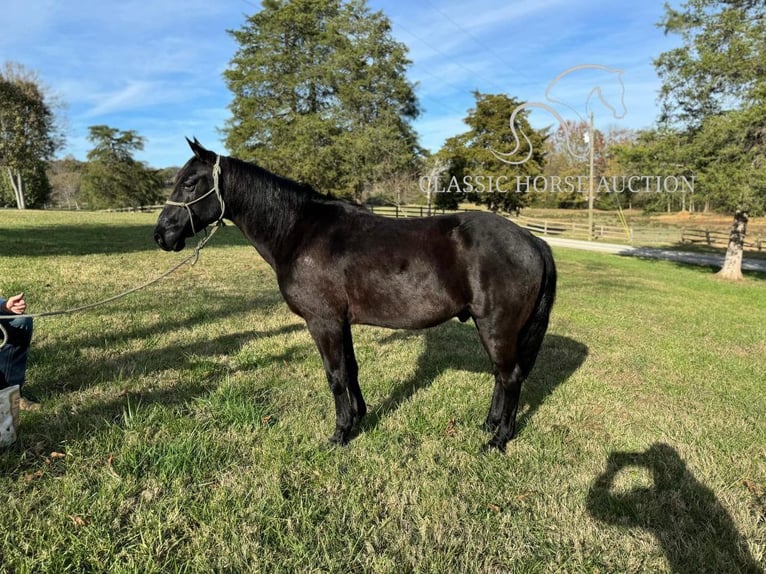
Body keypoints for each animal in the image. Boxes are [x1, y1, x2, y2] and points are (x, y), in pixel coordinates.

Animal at [154, 138, 560, 450]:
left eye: (191, 183)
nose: (162, 235)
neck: (300, 231)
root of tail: (533, 241)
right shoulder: (340, 321)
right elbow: (350, 369)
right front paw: (359, 417)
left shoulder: (323, 322)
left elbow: (335, 375)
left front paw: (340, 434)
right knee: (501, 375)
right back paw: (489, 424)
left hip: (497, 327)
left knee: (510, 376)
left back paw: (498, 439)